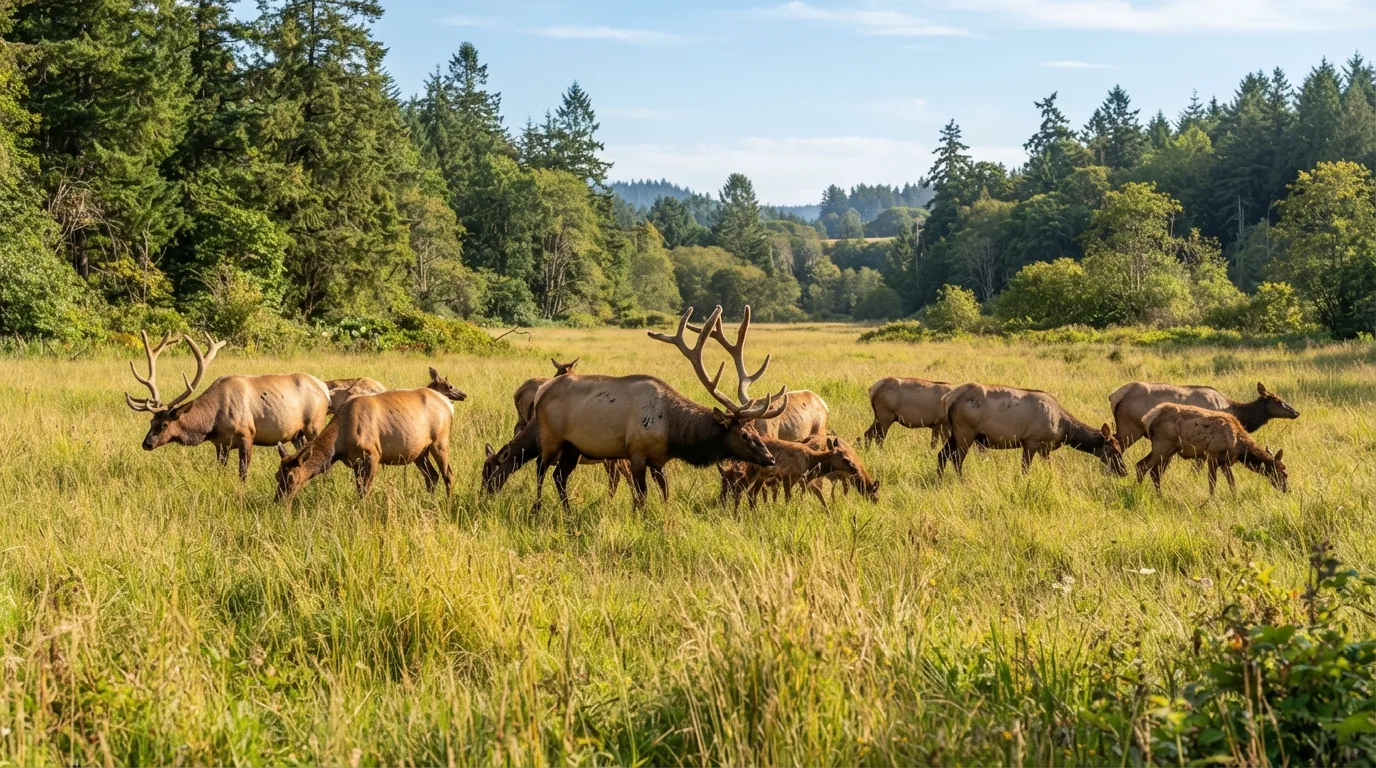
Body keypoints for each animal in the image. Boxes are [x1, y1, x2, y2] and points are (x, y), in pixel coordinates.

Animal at [124, 331, 330, 480]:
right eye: (151, 422)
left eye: (165, 424)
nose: (146, 443)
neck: (212, 423)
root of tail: (325, 389)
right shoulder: (221, 444)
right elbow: (220, 469)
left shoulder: (247, 434)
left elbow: (243, 472)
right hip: (296, 433)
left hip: (314, 425)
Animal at [275, 370, 466, 501]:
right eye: (277, 475)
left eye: (291, 477)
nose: (278, 501)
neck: (340, 443)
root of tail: (449, 406)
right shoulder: (355, 462)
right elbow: (359, 489)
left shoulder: (373, 454)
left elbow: (365, 492)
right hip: (419, 451)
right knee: (432, 476)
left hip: (440, 442)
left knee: (448, 474)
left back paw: (448, 503)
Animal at [522, 305, 787, 512]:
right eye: (743, 435)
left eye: (755, 431)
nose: (770, 458)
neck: (674, 433)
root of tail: (542, 392)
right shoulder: (636, 452)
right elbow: (640, 497)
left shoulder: (659, 461)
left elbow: (665, 493)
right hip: (551, 438)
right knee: (540, 470)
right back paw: (536, 509)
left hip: (573, 446)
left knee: (559, 476)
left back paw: (567, 511)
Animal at [938, 383, 1126, 478]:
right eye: (1115, 451)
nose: (1124, 472)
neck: (1065, 430)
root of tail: (947, 399)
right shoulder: (1031, 441)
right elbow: (1025, 469)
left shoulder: (1045, 448)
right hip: (966, 431)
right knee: (956, 458)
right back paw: (961, 480)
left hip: (955, 433)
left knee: (942, 454)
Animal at [1135, 403, 1288, 495]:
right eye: (1284, 473)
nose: (1287, 489)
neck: (1238, 447)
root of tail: (1148, 418)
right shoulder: (1213, 455)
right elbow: (1212, 483)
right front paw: (1212, 502)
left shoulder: (1225, 461)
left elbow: (1232, 482)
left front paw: (1234, 497)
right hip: (1162, 445)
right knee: (1141, 465)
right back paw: (1139, 492)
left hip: (1170, 450)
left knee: (1155, 472)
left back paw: (1160, 496)